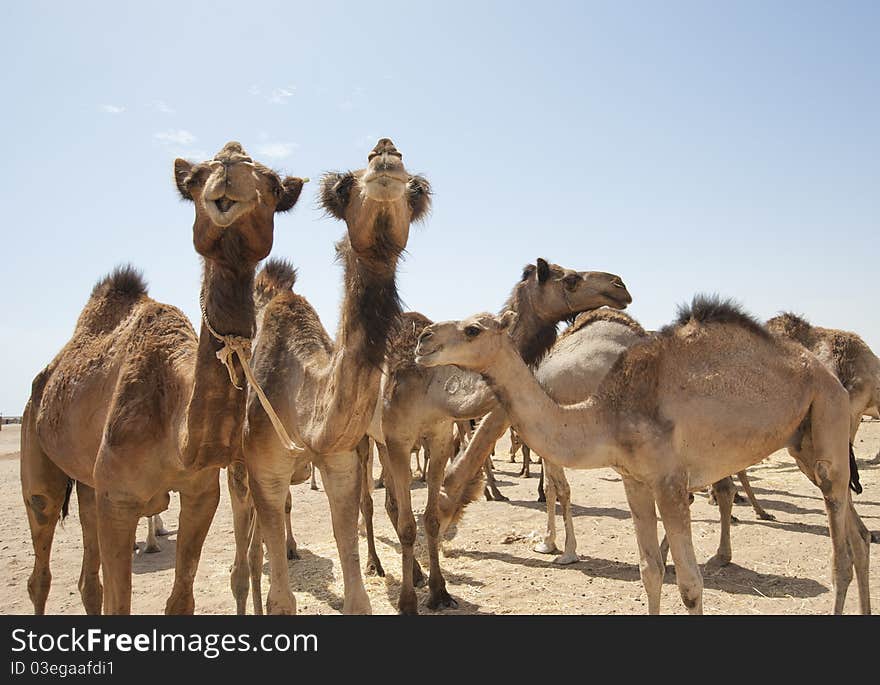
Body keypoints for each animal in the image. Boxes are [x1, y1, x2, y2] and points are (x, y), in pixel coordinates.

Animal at [20, 142, 306, 612]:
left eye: (274, 185)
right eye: (194, 179)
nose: (229, 170)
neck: (174, 428)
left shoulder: (200, 493)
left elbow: (181, 599)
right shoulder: (117, 500)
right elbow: (120, 603)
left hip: (86, 483)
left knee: (87, 579)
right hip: (37, 448)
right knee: (40, 562)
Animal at [230, 139, 430, 616]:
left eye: (416, 191)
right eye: (342, 187)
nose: (386, 153)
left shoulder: (339, 462)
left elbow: (357, 590)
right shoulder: (266, 471)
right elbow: (281, 600)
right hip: (236, 470)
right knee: (244, 557)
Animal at [372, 262, 632, 616]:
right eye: (570, 279)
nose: (620, 286)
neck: (430, 390)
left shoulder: (440, 436)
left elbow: (430, 518)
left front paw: (439, 592)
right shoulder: (399, 439)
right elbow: (410, 524)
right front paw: (408, 602)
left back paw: (415, 572)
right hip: (369, 439)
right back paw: (379, 567)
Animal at [416, 296, 868, 612]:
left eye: (473, 330)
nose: (424, 339)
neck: (606, 413)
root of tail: (827, 374)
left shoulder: (670, 481)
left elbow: (689, 585)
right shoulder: (633, 480)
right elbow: (649, 572)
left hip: (828, 418)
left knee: (840, 555)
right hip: (805, 444)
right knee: (859, 536)